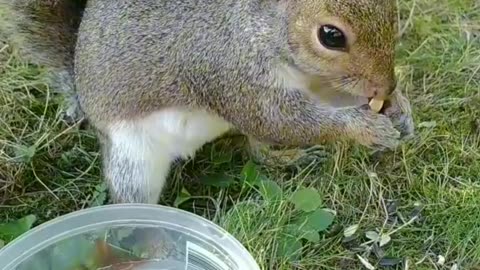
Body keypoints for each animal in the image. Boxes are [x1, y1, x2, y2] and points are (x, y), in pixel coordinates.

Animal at [0, 0, 412, 202]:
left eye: (392, 11)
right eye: (331, 36)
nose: (384, 86)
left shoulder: (313, 80)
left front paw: (399, 110)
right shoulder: (227, 71)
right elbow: (278, 119)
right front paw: (365, 128)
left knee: (256, 148)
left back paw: (287, 158)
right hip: (131, 156)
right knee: (131, 197)